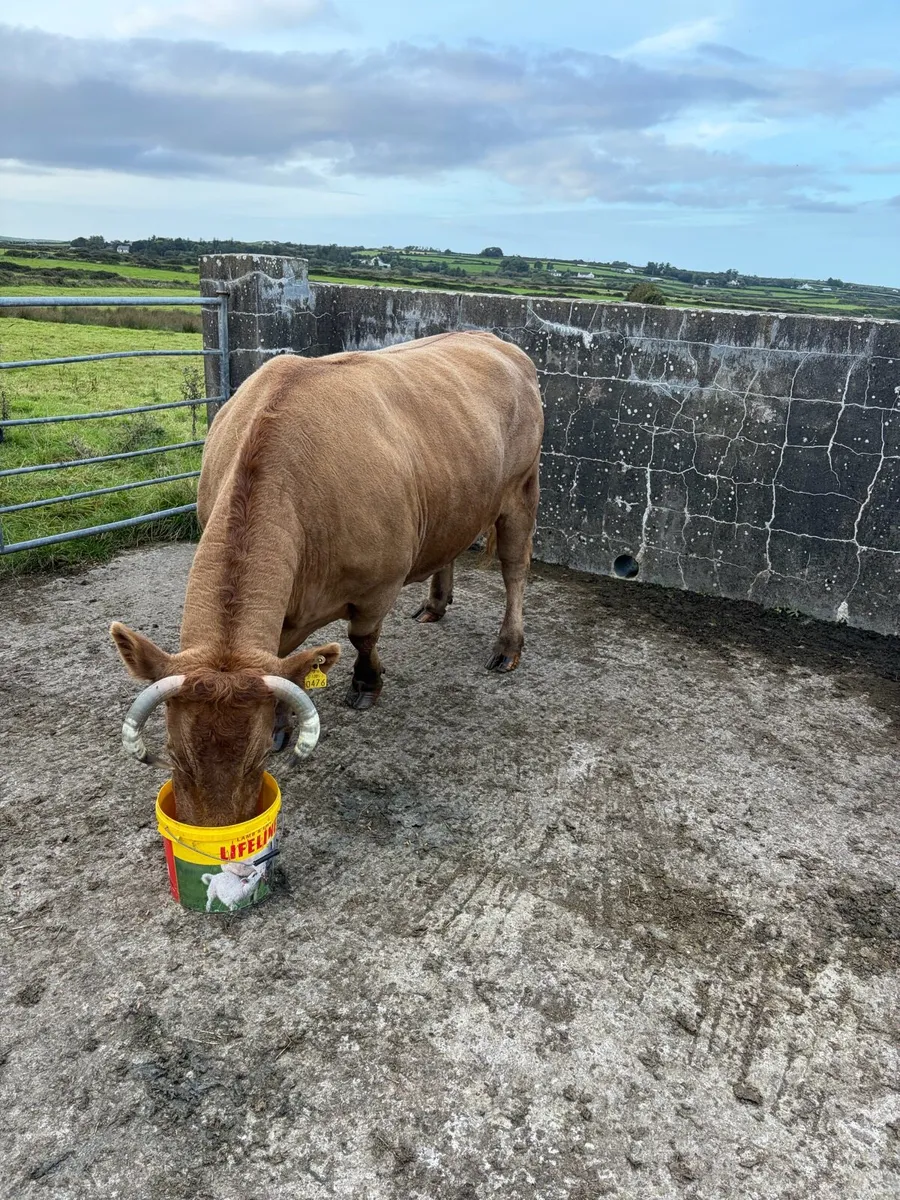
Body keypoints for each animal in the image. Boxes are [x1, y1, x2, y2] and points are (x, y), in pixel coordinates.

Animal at [111, 330, 543, 828]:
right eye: (174, 755)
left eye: (258, 761)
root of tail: (493, 339)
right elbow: (283, 660)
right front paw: (282, 720)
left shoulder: (379, 583)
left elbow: (362, 637)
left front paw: (366, 684)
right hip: (457, 496)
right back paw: (435, 604)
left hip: (522, 488)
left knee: (515, 568)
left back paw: (508, 646)